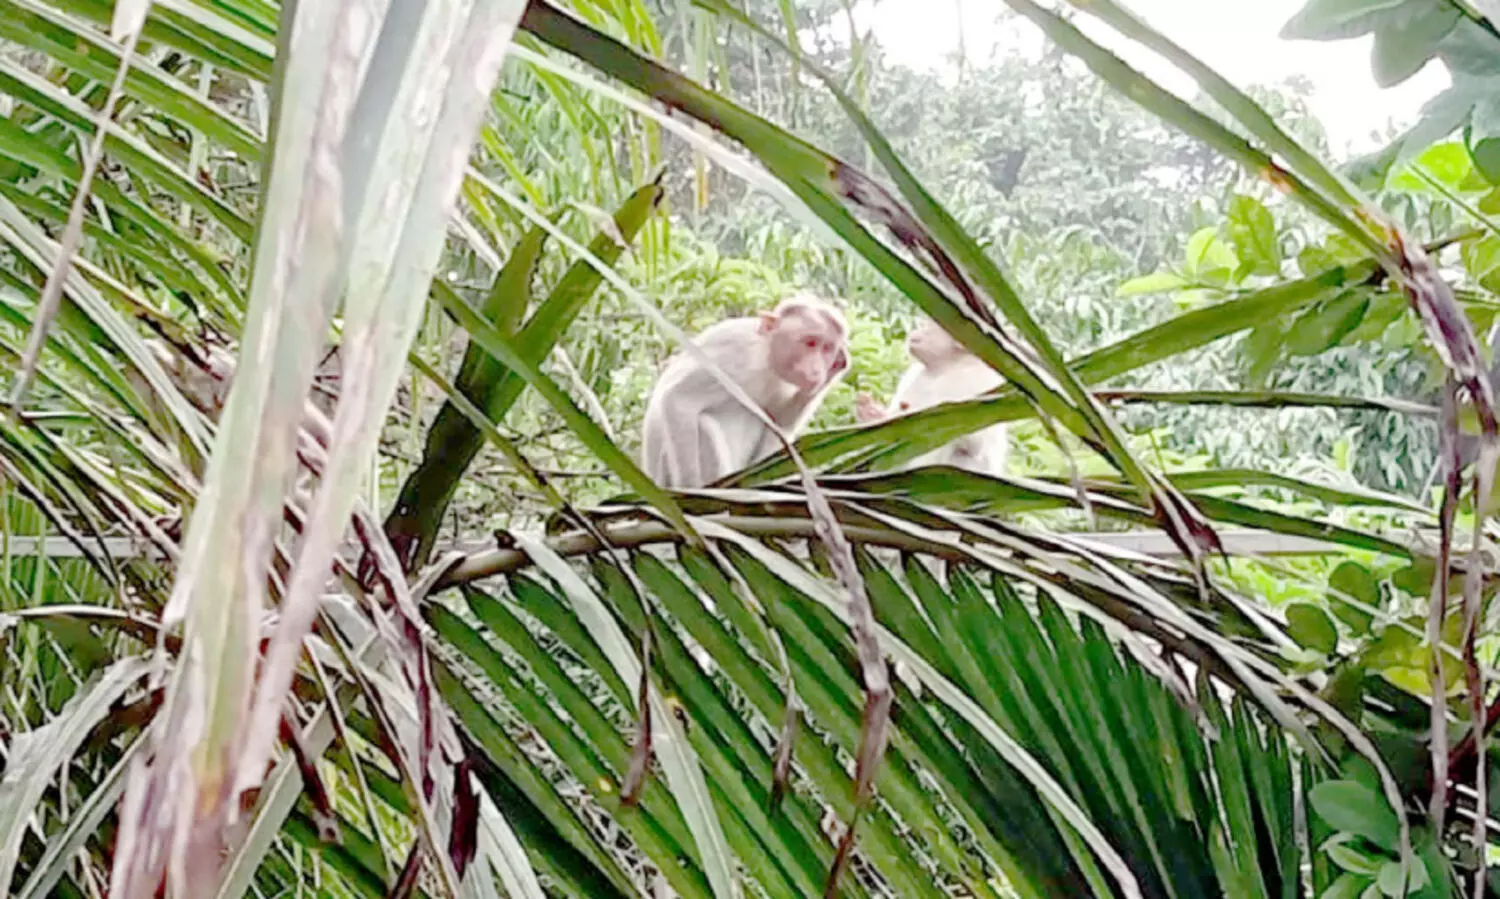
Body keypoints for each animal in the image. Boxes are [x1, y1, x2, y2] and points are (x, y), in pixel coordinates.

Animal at [641, 293, 850, 489]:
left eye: (827, 348)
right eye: (811, 342)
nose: (817, 370)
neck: (766, 354)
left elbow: (779, 424)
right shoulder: (738, 358)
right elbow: (678, 399)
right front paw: (690, 488)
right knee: (703, 425)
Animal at [854, 318, 1008, 476]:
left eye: (929, 325)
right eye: (923, 323)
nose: (916, 330)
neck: (946, 367)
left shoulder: (981, 381)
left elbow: (975, 442)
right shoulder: (912, 375)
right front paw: (871, 413)